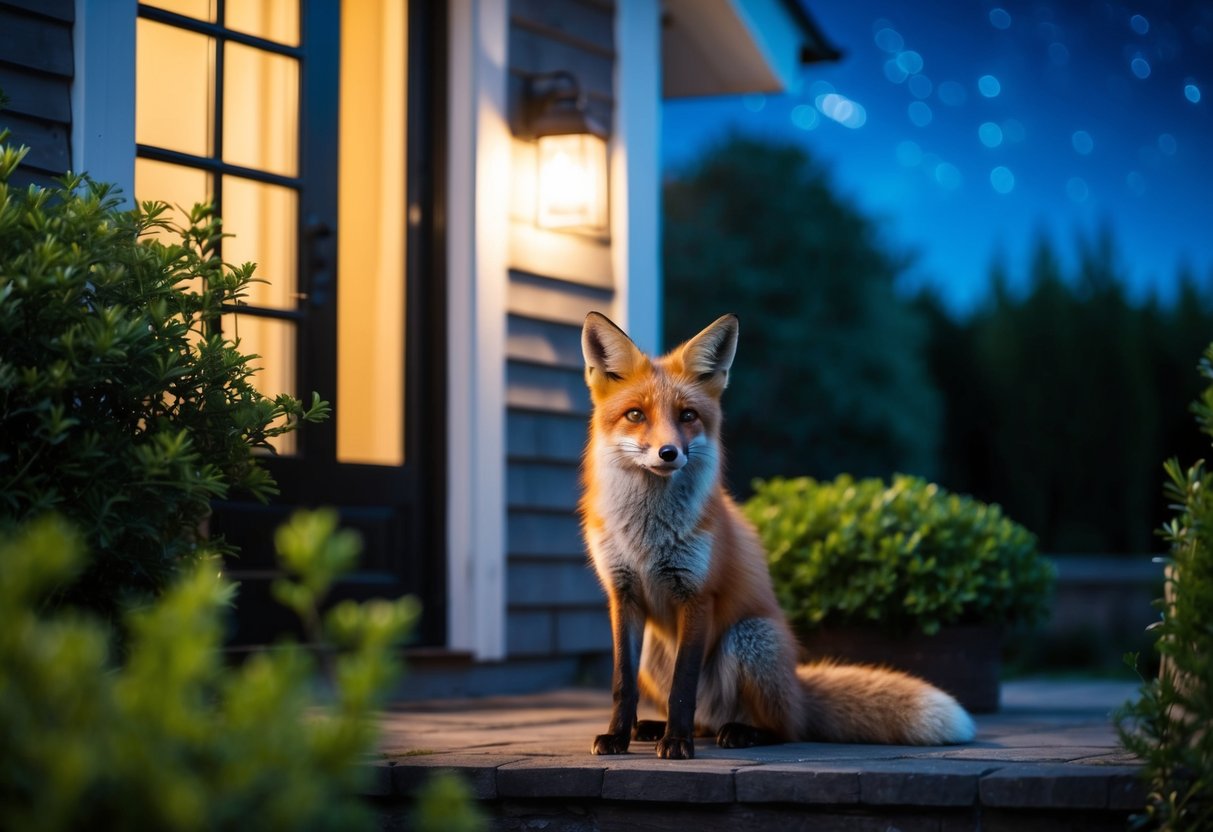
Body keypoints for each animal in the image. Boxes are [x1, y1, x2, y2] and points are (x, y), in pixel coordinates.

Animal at [579, 311, 977, 760]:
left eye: (687, 416)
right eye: (635, 415)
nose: (669, 453)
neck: (646, 536)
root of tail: (797, 686)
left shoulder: (697, 595)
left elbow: (683, 687)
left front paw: (677, 743)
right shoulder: (623, 593)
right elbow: (622, 684)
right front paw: (617, 736)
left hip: (750, 638)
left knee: (785, 727)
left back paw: (739, 732)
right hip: (655, 653)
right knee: (705, 718)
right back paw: (656, 727)